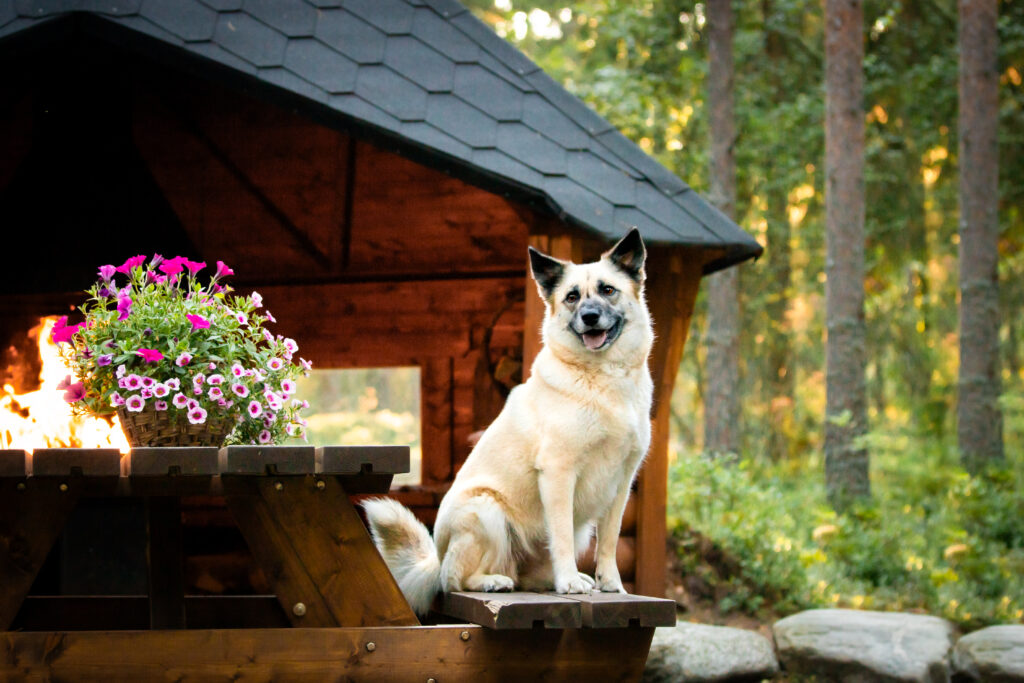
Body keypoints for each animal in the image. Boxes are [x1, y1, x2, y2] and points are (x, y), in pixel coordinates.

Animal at [364, 228, 651, 614]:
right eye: (572, 297)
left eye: (608, 290)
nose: (590, 317)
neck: (603, 378)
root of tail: (437, 556)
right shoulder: (559, 473)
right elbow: (560, 535)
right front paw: (569, 582)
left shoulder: (622, 483)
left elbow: (609, 541)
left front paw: (611, 584)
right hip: (486, 510)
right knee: (455, 579)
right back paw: (495, 581)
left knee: (525, 576)